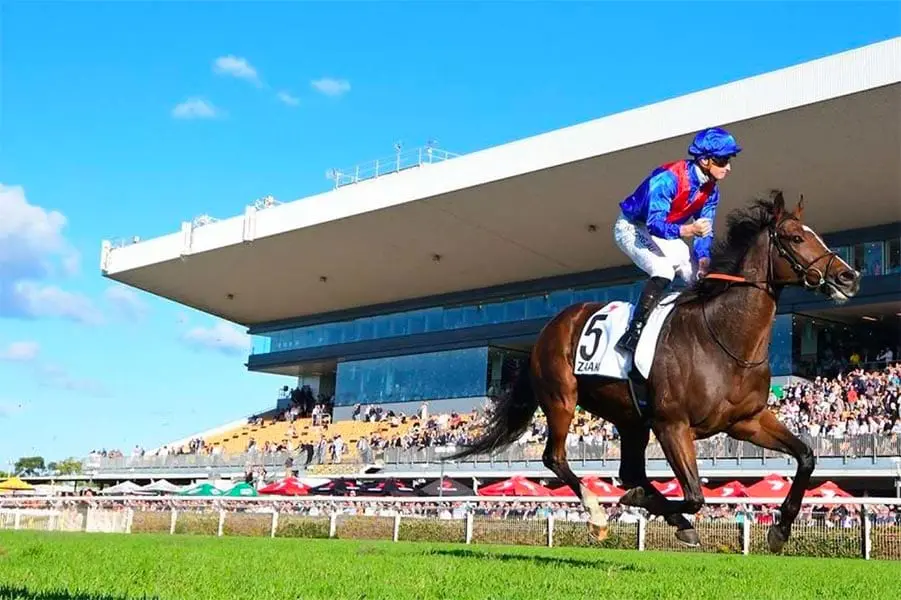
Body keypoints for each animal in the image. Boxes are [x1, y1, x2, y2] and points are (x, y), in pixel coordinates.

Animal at [446, 192, 860, 552]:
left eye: (817, 235)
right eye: (795, 238)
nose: (849, 277)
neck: (723, 338)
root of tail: (550, 326)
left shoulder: (747, 420)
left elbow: (806, 456)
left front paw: (780, 529)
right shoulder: (671, 424)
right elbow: (693, 495)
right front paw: (647, 509)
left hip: (630, 418)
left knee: (630, 471)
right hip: (562, 398)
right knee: (556, 459)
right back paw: (598, 515)